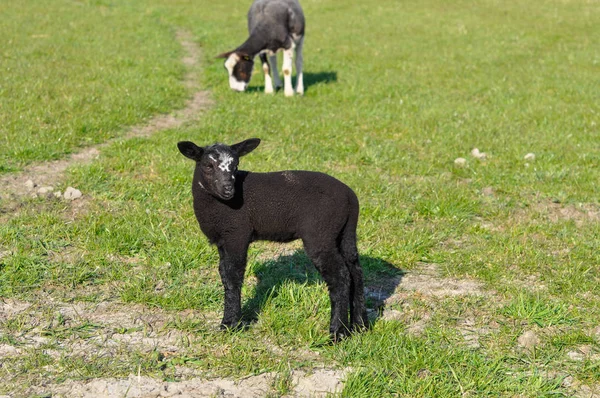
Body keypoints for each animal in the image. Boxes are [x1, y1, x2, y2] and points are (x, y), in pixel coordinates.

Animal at [176, 138, 368, 340]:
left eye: (236, 165)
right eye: (208, 165)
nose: (228, 191)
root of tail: (350, 197)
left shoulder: (236, 234)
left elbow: (233, 276)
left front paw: (230, 324)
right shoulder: (222, 240)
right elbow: (224, 274)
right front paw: (231, 321)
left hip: (320, 234)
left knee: (340, 276)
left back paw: (337, 333)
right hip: (345, 233)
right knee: (355, 270)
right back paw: (360, 326)